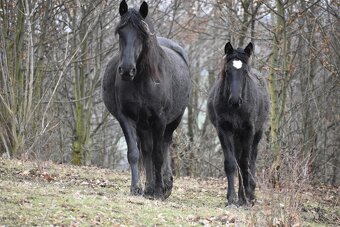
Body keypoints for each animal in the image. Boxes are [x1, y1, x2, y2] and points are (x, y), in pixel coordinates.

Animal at [101, 0, 191, 199]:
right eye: (120, 32)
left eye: (142, 34)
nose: (127, 70)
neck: (143, 80)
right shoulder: (127, 118)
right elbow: (135, 154)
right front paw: (136, 188)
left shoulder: (160, 119)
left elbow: (158, 155)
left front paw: (159, 190)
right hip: (143, 124)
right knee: (147, 151)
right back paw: (149, 187)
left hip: (173, 121)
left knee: (164, 145)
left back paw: (165, 186)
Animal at [207, 41, 268, 206]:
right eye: (228, 71)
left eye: (245, 72)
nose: (235, 100)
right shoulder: (224, 130)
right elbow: (231, 164)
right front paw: (232, 198)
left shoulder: (248, 131)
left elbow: (244, 163)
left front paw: (247, 196)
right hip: (236, 136)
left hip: (257, 134)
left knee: (251, 159)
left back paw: (250, 193)